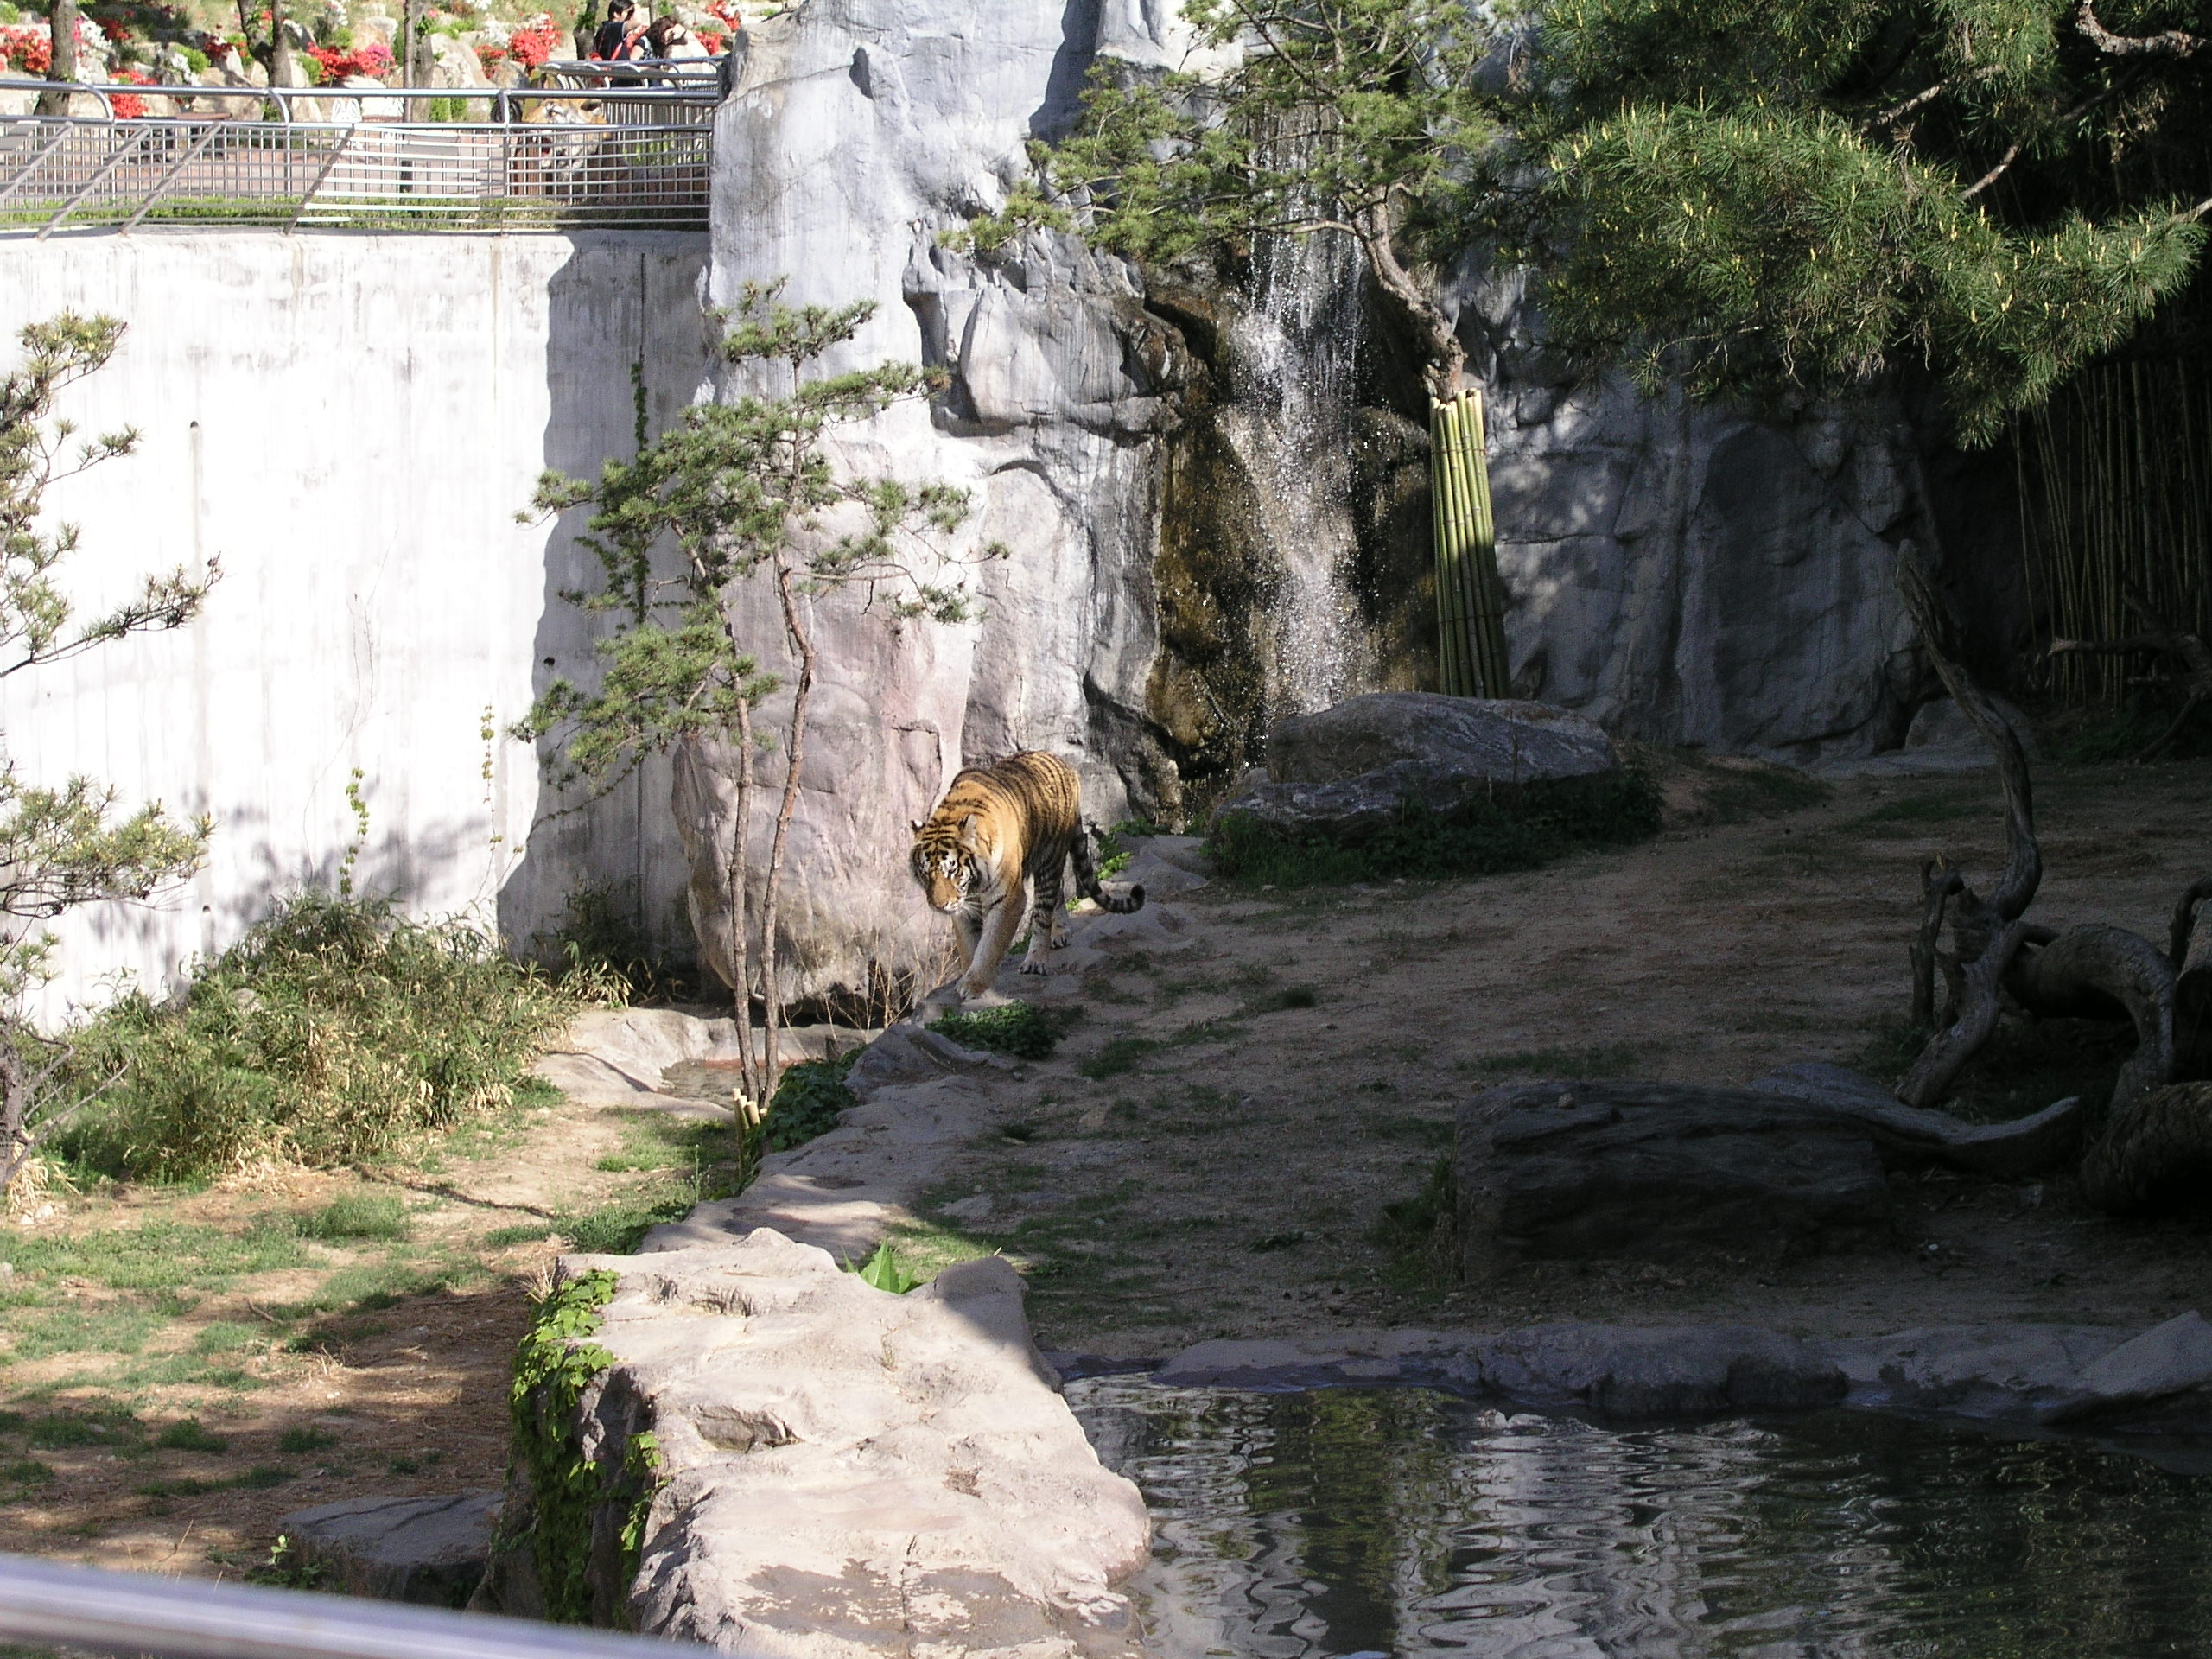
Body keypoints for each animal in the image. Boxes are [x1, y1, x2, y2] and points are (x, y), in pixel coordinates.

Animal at [909, 750, 1146, 1000]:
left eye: (952, 871)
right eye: (926, 874)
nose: (939, 905)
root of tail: (1062, 763)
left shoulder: (1008, 898)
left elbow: (990, 944)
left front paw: (974, 983)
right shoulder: (964, 906)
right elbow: (968, 945)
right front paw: (967, 975)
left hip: (1049, 859)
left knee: (1043, 912)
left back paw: (1036, 961)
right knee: (1058, 894)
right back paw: (1060, 933)